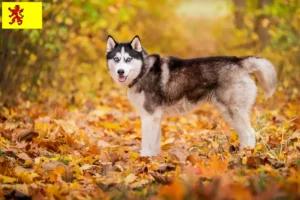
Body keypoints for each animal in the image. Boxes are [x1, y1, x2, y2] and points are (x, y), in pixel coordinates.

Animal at [106, 35, 278, 156]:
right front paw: (154, 158)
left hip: (233, 111)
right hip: (230, 113)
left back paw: (246, 155)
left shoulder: (150, 115)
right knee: (245, 134)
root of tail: (239, 61)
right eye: (116, 59)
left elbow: (147, 142)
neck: (143, 71)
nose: (120, 71)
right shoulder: (155, 117)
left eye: (128, 59)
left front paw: (145, 158)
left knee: (250, 133)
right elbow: (155, 142)